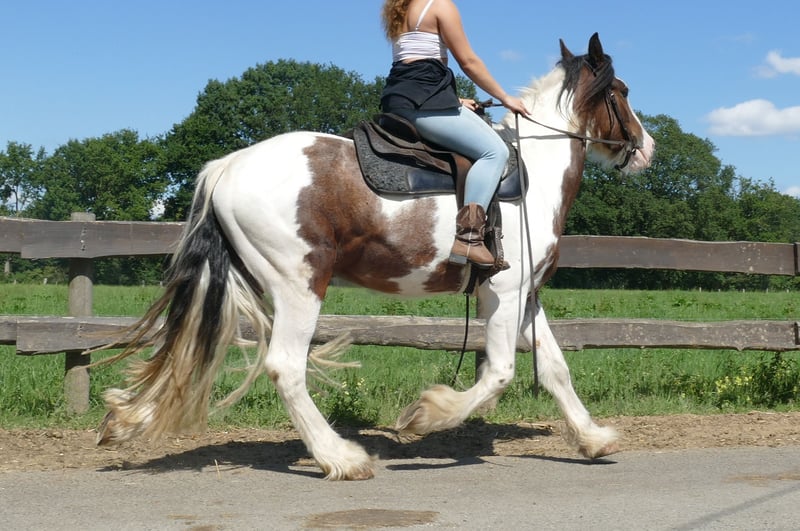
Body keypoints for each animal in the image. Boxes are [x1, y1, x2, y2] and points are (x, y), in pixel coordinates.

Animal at [96, 33, 655, 480]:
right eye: (622, 93)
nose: (646, 147)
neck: (531, 176)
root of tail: (227, 166)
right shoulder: (504, 291)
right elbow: (499, 373)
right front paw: (426, 414)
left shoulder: (525, 296)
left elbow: (555, 369)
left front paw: (593, 438)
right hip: (299, 287)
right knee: (285, 367)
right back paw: (341, 458)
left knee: (190, 350)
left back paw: (126, 420)